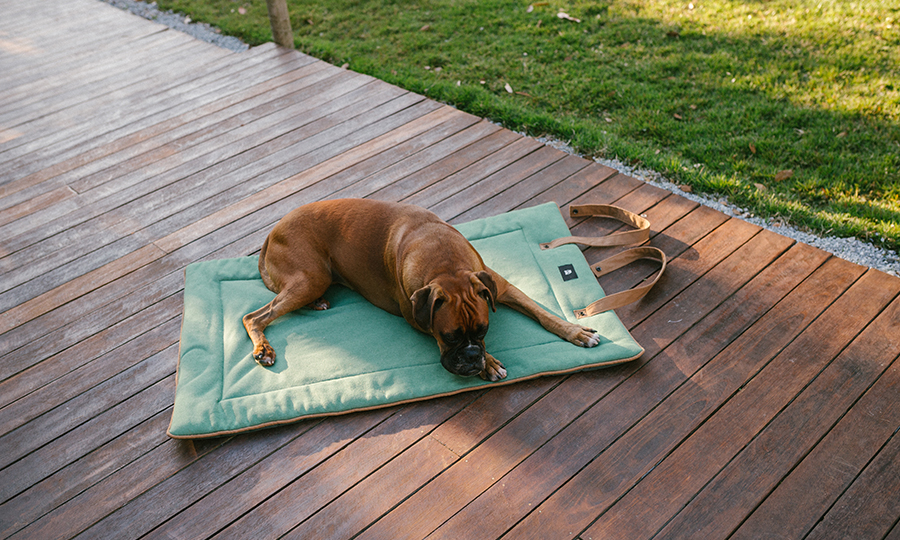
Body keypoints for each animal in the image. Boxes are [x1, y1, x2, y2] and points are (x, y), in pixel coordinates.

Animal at [243, 200, 600, 382]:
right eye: (450, 337)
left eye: (483, 330)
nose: (473, 356)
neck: (445, 262)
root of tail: (273, 230)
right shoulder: (416, 318)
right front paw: (490, 363)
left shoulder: (501, 286)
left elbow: (541, 311)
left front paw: (576, 331)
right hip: (311, 278)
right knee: (253, 316)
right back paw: (263, 348)